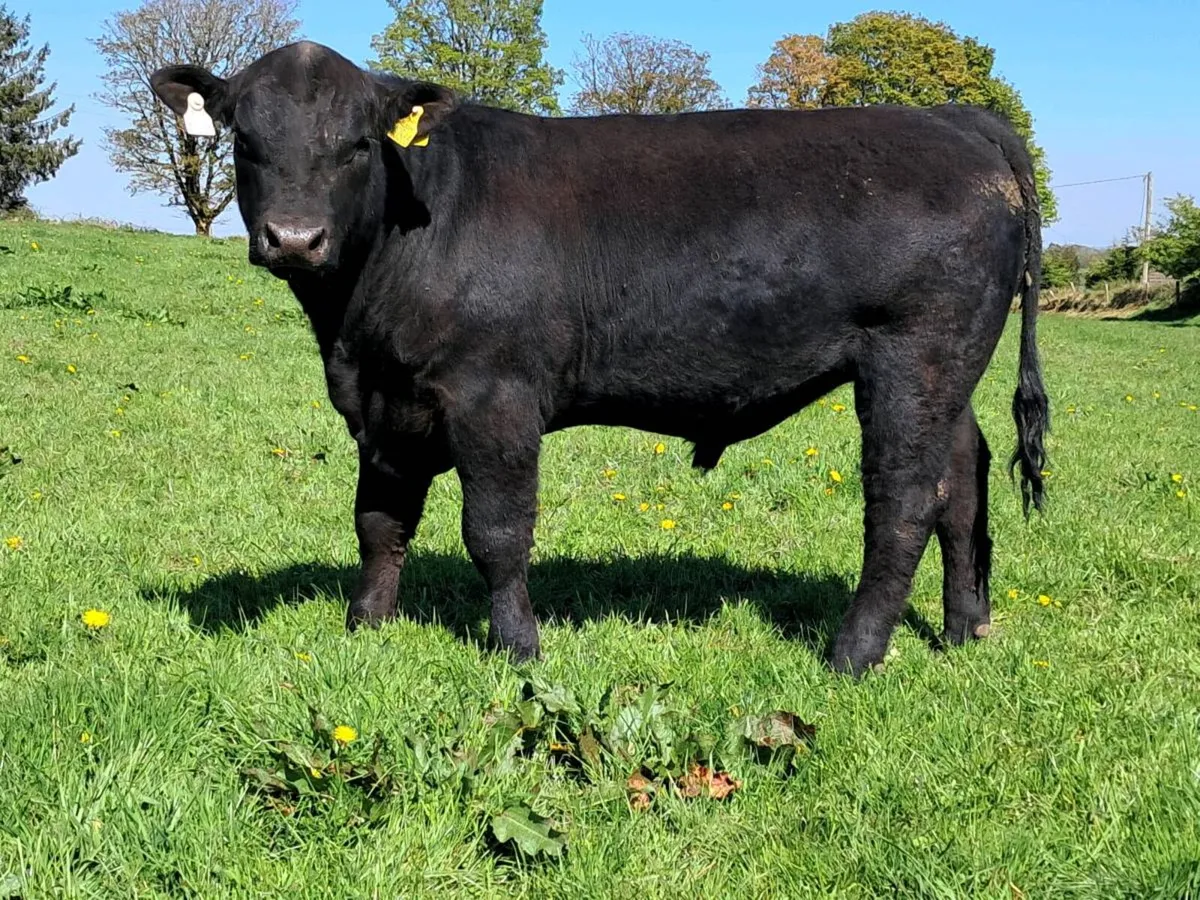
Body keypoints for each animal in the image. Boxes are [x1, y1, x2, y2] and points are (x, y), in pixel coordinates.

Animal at [150, 40, 1048, 677]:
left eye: (358, 144)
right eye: (245, 138)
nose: (296, 238)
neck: (354, 322)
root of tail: (955, 118)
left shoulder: (494, 396)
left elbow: (496, 531)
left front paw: (517, 648)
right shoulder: (383, 402)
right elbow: (379, 520)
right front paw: (365, 626)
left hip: (911, 355)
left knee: (903, 502)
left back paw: (853, 654)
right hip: (946, 371)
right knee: (961, 483)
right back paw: (964, 628)